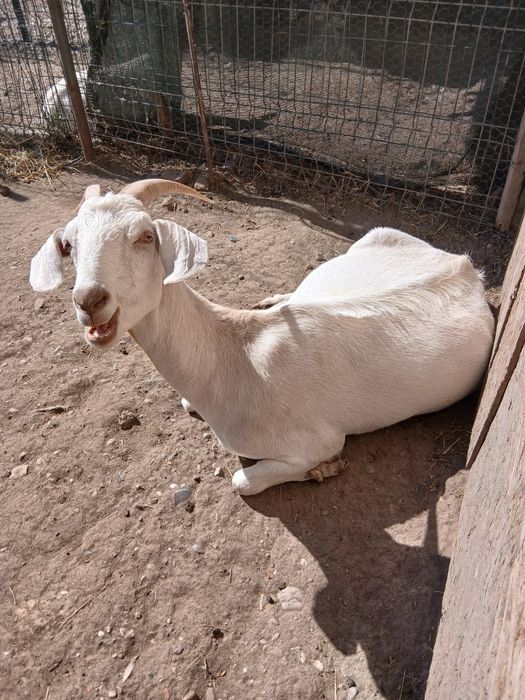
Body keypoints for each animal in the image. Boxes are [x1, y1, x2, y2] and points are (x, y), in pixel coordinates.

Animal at [29, 180, 495, 495]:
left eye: (145, 236)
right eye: (68, 245)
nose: (89, 300)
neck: (235, 359)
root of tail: (466, 267)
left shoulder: (317, 440)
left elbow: (241, 480)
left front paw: (326, 470)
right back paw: (274, 298)